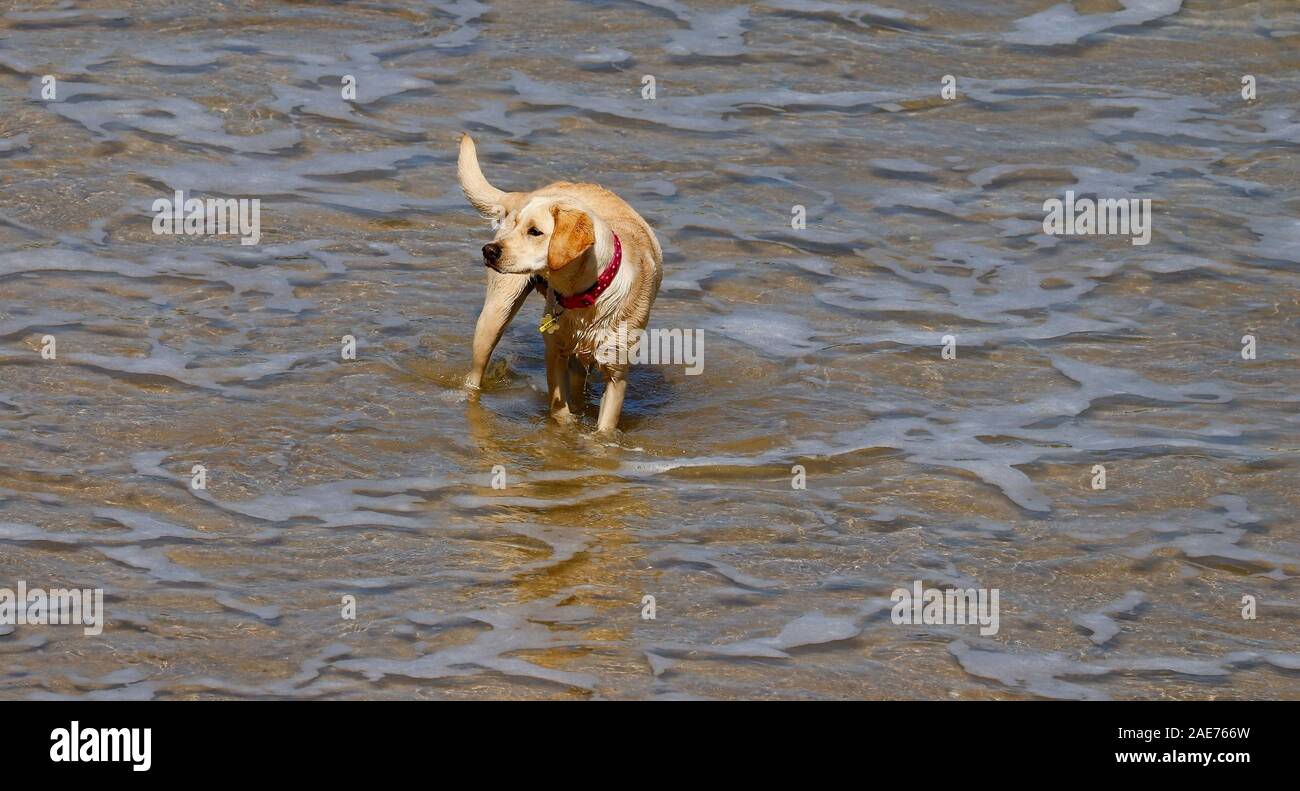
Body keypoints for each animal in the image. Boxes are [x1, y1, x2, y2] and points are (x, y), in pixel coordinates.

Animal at [457, 135, 660, 431]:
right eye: (516, 226)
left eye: (535, 231)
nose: (488, 251)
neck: (589, 295)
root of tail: (526, 193)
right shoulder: (554, 353)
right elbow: (559, 408)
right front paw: (567, 427)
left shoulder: (616, 372)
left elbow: (605, 428)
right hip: (495, 314)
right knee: (475, 374)